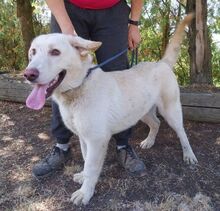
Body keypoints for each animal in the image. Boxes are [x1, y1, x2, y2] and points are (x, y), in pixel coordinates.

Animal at [24, 14, 198, 205]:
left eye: (55, 52)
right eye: (33, 52)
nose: (28, 74)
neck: (79, 87)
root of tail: (162, 63)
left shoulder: (96, 140)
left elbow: (91, 167)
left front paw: (85, 192)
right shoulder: (84, 138)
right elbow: (85, 160)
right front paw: (83, 177)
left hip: (171, 111)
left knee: (182, 133)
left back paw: (188, 155)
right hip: (142, 112)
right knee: (156, 123)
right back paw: (149, 141)